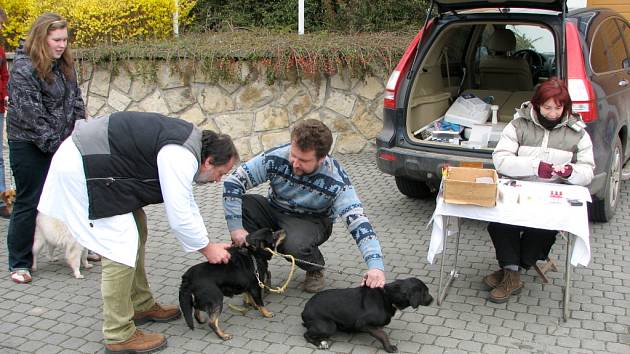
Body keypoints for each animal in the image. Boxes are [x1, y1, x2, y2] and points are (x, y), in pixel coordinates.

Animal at [302, 280, 434, 352]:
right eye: (426, 292)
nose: (433, 300)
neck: (388, 296)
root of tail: (304, 310)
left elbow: (379, 331)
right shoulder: (362, 323)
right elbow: (383, 334)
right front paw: (389, 347)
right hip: (328, 327)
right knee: (306, 334)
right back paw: (320, 343)